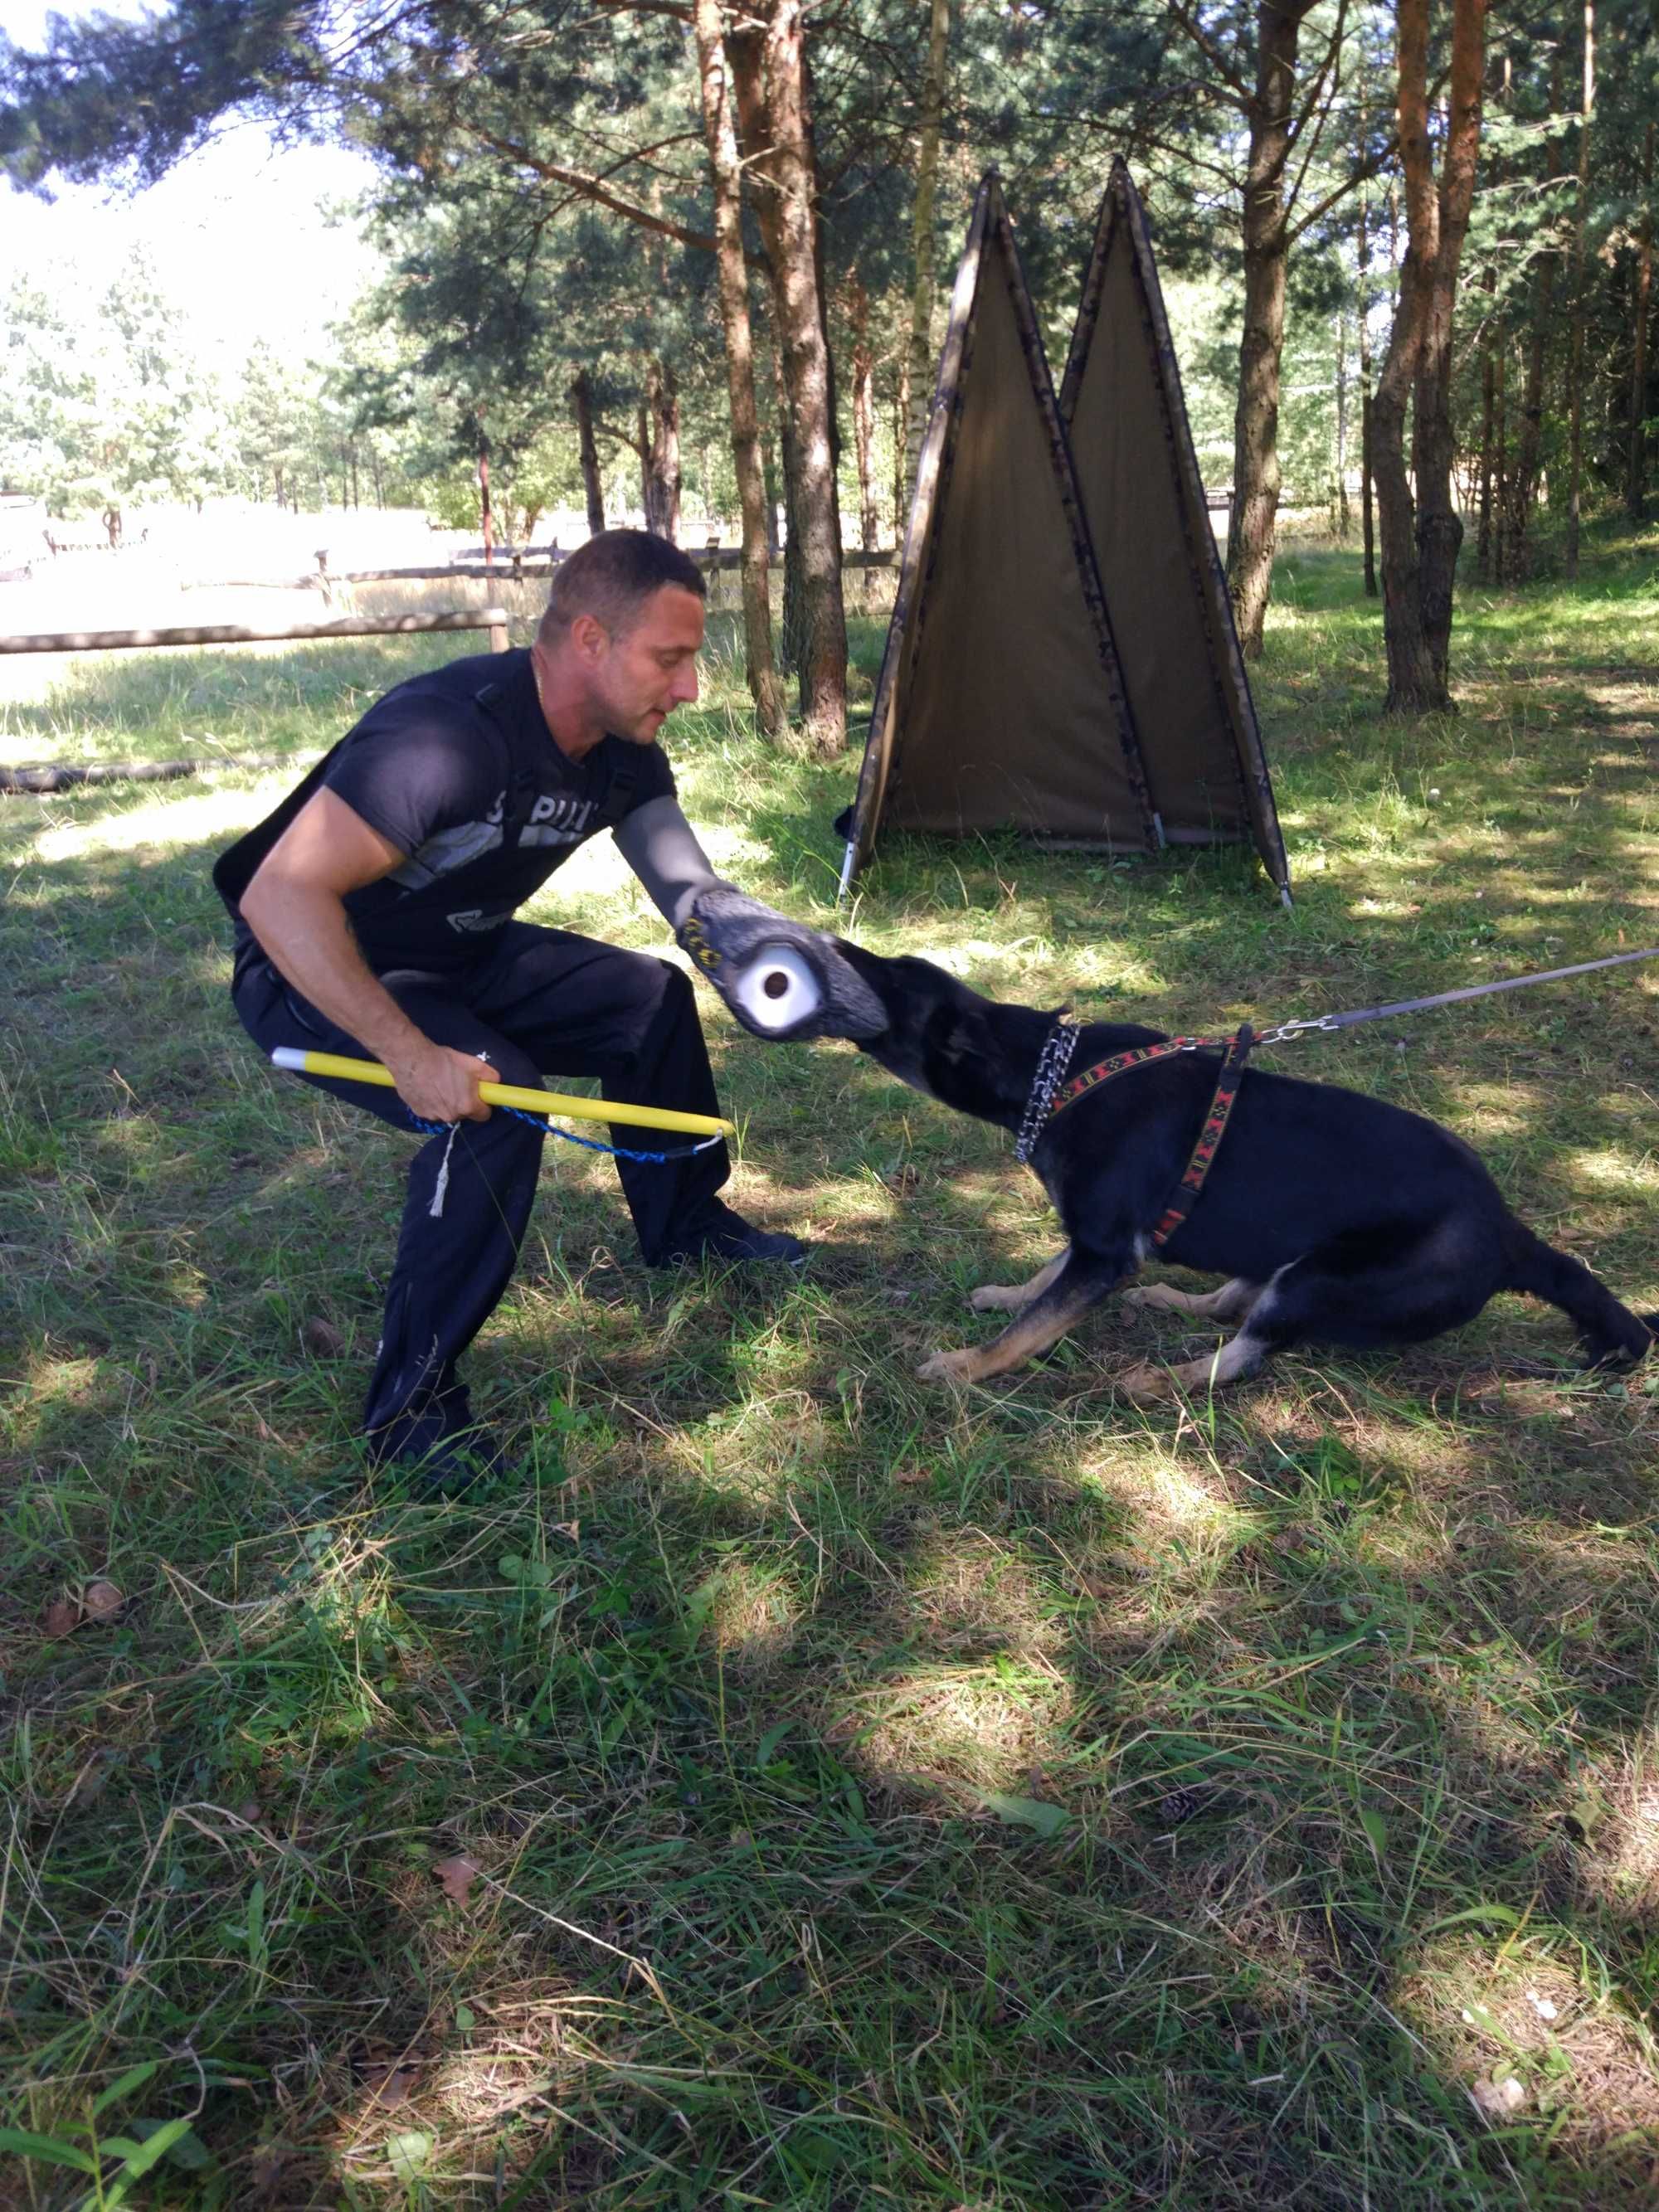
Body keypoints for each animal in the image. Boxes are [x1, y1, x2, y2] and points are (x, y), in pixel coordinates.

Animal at [836, 937, 1654, 1398]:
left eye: (893, 979)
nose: (838, 943)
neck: (1051, 1074)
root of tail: (1512, 1234)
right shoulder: (1097, 1243)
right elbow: (1044, 1278)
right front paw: (1007, 1293)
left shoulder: (1105, 1250)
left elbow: (1031, 1328)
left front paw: (965, 1367)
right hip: (1283, 1260)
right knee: (1230, 1305)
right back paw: (1172, 1300)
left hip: (1319, 1280)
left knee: (1244, 1357)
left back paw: (1155, 1381)